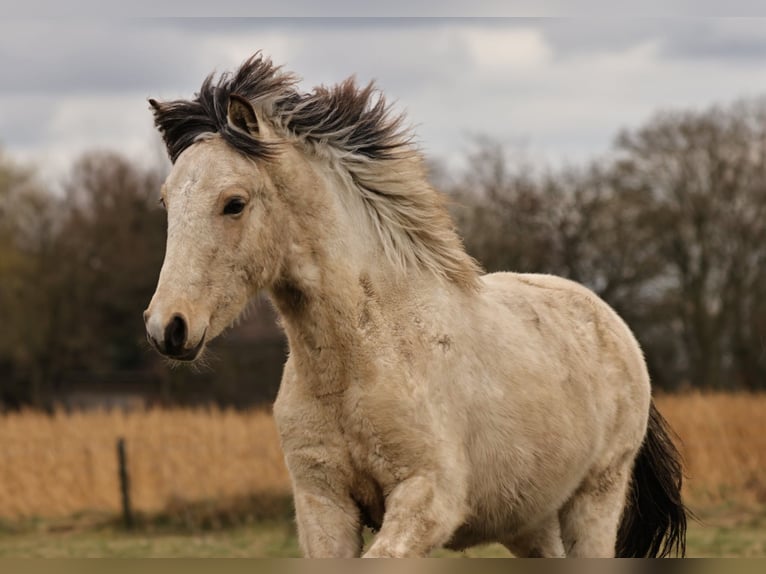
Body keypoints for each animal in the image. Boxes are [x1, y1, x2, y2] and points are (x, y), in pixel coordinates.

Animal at [143, 54, 688, 558]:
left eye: (234, 203)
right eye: (167, 203)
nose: (168, 327)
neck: (359, 359)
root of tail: (614, 325)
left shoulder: (427, 500)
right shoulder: (322, 503)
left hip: (594, 500)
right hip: (531, 522)